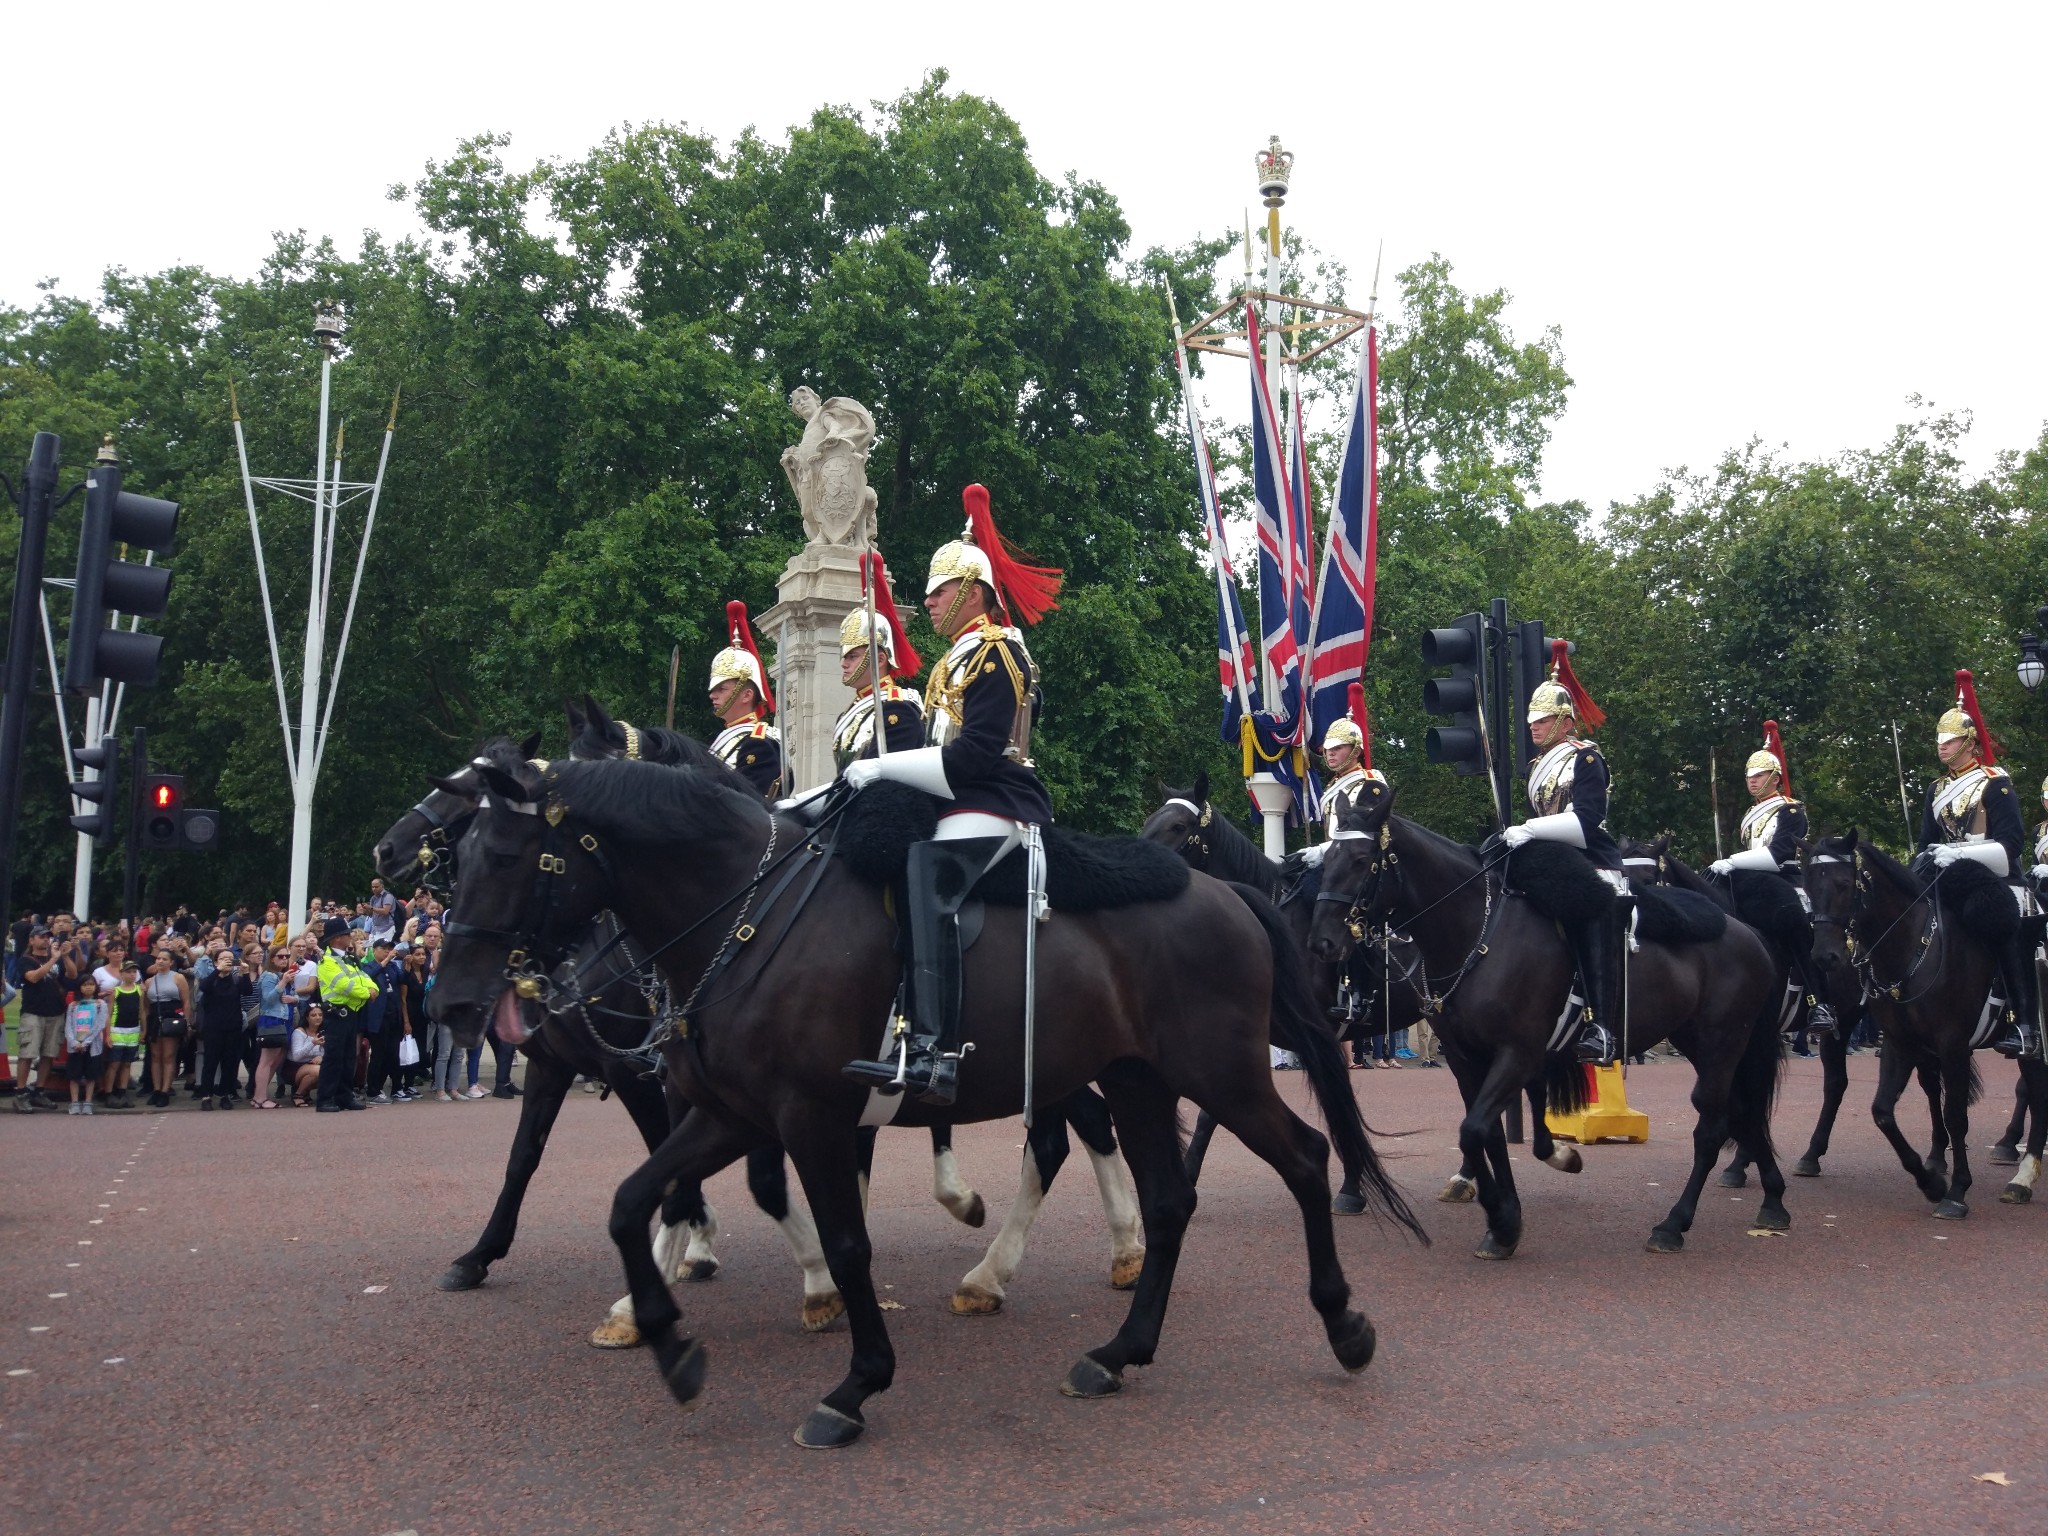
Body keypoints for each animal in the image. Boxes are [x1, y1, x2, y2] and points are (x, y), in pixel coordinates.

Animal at [432, 753, 1425, 1449]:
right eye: (462, 854)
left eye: (511, 854)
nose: (455, 1003)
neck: (746, 915)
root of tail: (1228, 894)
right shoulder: (728, 1113)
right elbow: (631, 1199)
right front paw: (670, 1343)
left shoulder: (808, 1117)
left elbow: (845, 1241)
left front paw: (854, 1382)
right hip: (1136, 1078)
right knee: (1170, 1199)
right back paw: (1115, 1350)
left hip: (1220, 1072)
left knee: (1303, 1157)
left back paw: (1343, 1326)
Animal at [1302, 786, 1785, 1253]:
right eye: (1327, 860)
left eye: (1361, 859)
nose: (1322, 942)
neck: (1476, 934)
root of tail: (1747, 931)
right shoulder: (1465, 1056)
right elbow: (1485, 1134)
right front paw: (1505, 1219)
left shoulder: (1518, 1052)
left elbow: (1474, 1129)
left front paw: (1503, 1217)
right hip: (1700, 1042)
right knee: (1743, 1111)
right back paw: (1774, 1202)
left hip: (1722, 1043)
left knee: (1712, 1127)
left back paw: (1673, 1225)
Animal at [1810, 835, 2048, 1220]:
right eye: (1808, 883)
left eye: (1844, 884)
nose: (1824, 957)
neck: (1913, 949)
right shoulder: (1900, 1042)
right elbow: (1883, 1111)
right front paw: (1931, 1181)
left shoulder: (1952, 1044)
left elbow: (1955, 1114)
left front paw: (1957, 1191)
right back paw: (2019, 1175)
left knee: (2035, 1092)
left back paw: (2022, 1177)